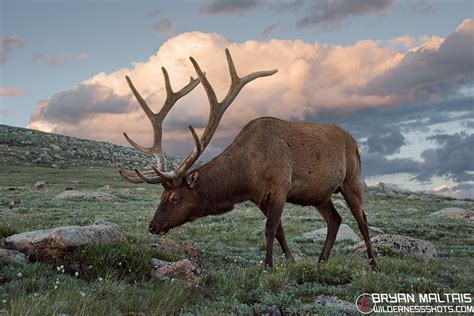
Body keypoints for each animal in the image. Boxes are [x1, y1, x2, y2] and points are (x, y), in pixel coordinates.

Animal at [117, 48, 378, 270]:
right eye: (161, 196)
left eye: (174, 198)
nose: (153, 226)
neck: (246, 175)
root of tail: (354, 142)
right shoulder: (259, 196)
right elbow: (280, 230)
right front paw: (290, 261)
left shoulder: (281, 186)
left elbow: (270, 229)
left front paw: (268, 266)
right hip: (319, 195)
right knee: (335, 219)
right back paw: (321, 261)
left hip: (351, 180)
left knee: (362, 219)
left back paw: (374, 264)